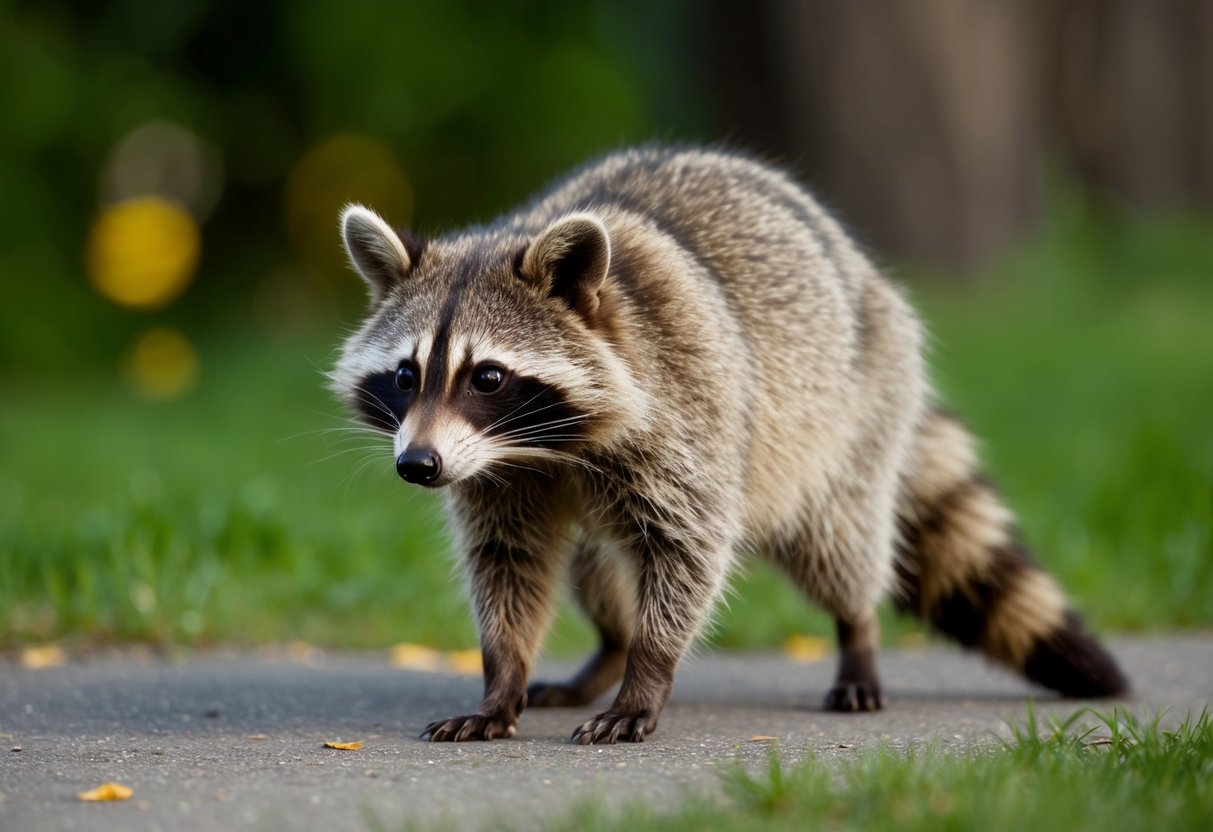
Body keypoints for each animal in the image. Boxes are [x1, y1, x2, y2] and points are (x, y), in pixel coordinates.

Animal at [331, 147, 1127, 744]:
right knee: (591, 567)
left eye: (488, 377)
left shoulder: (689, 415)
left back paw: (856, 637)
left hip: (853, 410)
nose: (417, 465)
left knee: (838, 546)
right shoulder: (500, 478)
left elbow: (688, 552)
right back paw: (607, 651)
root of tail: (866, 274)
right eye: (405, 376)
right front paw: (503, 677)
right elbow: (508, 565)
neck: (544, 448)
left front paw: (648, 673)